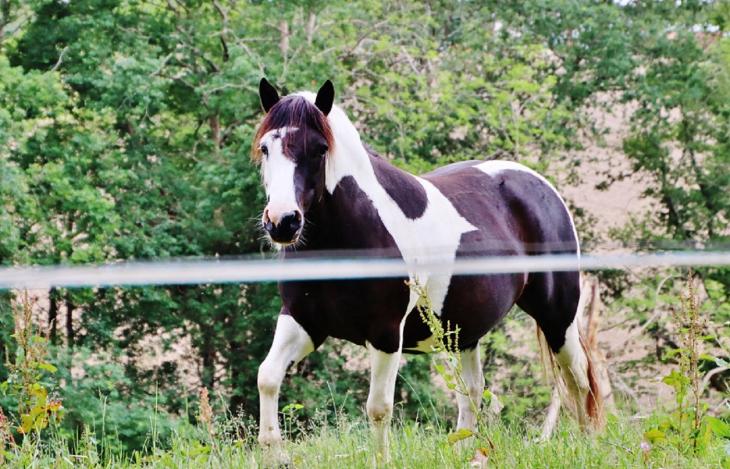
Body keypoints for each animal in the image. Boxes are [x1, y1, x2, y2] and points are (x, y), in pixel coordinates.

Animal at [252, 78, 604, 462]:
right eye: (266, 148)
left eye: (319, 149)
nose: (282, 222)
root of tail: (544, 188)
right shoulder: (302, 320)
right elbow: (267, 377)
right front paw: (274, 455)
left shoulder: (386, 332)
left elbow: (379, 408)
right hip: (464, 331)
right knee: (473, 391)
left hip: (558, 316)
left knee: (578, 380)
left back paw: (589, 446)